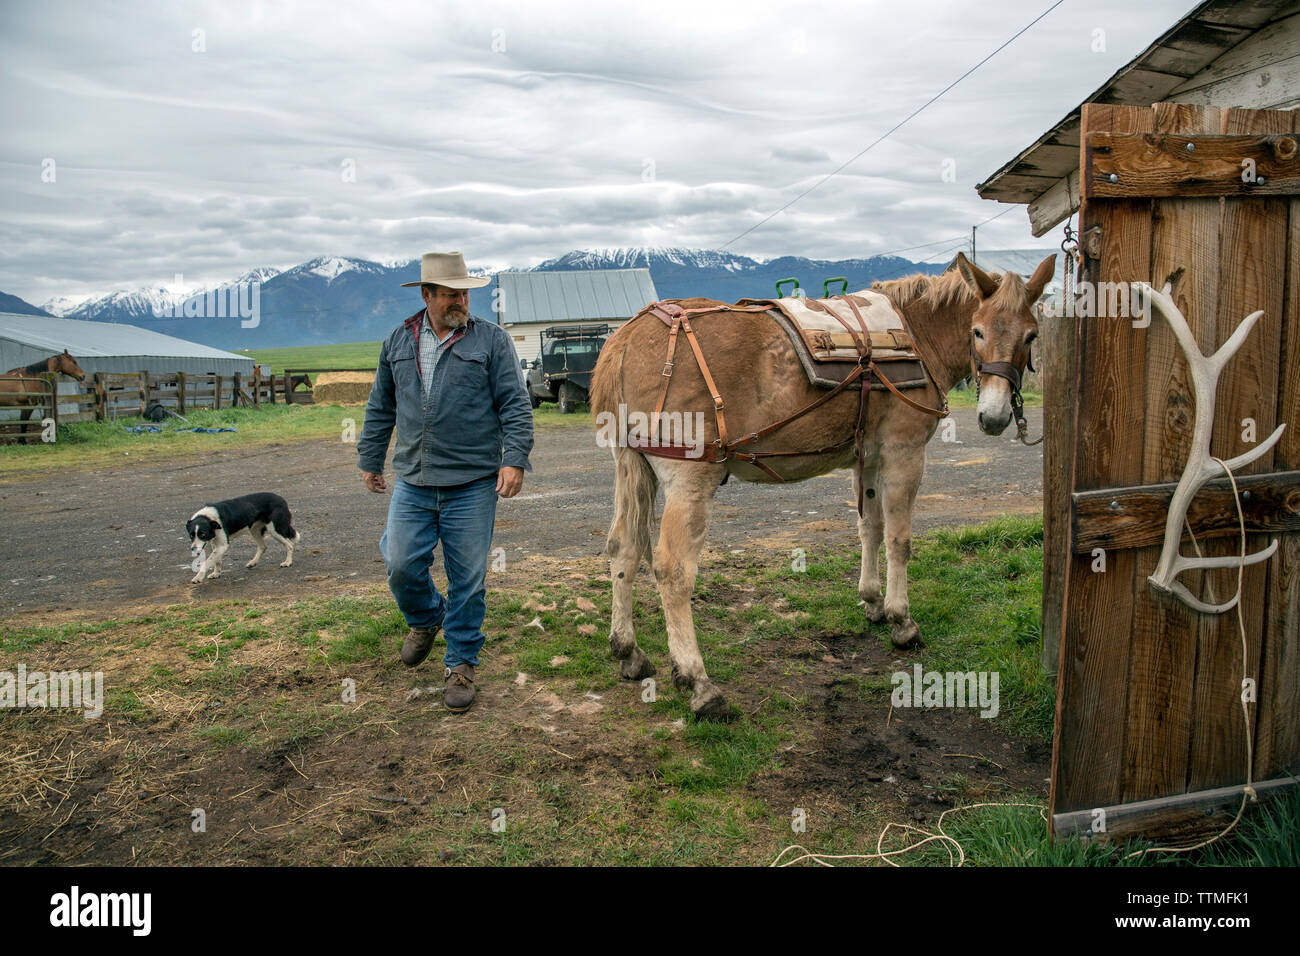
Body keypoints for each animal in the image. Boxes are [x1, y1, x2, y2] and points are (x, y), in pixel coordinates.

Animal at [592, 252, 1055, 717]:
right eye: (977, 331)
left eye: (1031, 335)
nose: (994, 416)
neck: (916, 333)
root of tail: (627, 338)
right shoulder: (904, 455)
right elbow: (899, 540)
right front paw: (901, 620)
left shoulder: (868, 459)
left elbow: (870, 528)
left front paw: (872, 600)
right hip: (689, 481)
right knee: (672, 570)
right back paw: (699, 682)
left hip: (631, 468)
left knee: (623, 549)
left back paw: (628, 651)